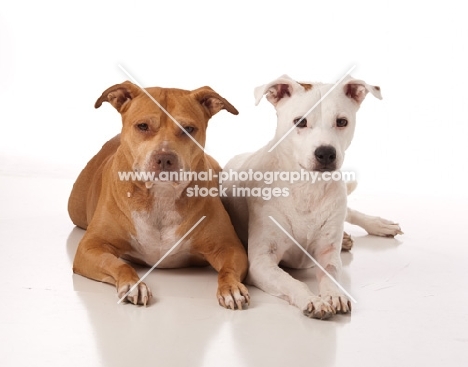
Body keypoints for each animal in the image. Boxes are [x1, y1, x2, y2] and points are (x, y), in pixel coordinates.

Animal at [68, 82, 250, 310]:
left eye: (188, 129)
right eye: (143, 126)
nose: (164, 158)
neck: (161, 195)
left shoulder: (229, 247)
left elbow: (228, 270)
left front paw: (231, 288)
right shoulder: (91, 246)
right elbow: (117, 264)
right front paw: (133, 284)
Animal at [222, 75, 402, 320]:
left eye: (342, 122)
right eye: (300, 122)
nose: (325, 153)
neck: (307, 187)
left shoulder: (328, 253)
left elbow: (331, 273)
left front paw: (334, 295)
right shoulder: (261, 262)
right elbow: (292, 282)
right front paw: (312, 299)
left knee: (351, 212)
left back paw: (379, 225)